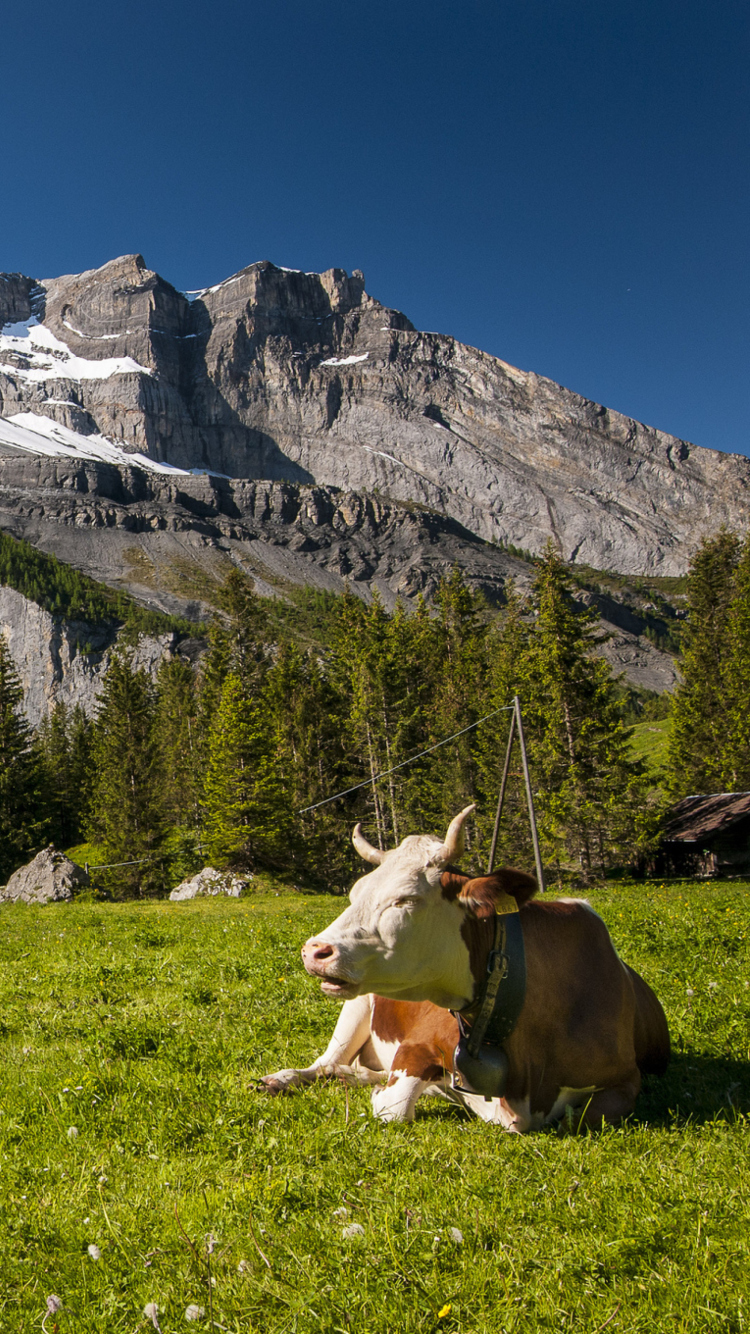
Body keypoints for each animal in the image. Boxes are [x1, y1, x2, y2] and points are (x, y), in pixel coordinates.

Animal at [260, 805, 667, 1131]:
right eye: (355, 893)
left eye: (406, 899)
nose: (314, 951)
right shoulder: (418, 1044)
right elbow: (395, 1106)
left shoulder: (627, 1078)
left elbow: (584, 1117)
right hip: (356, 1007)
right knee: (324, 1063)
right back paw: (282, 1078)